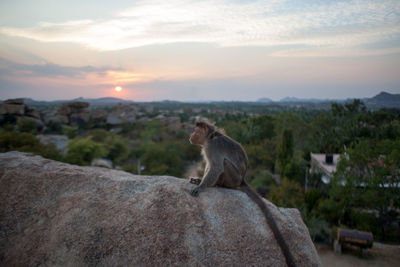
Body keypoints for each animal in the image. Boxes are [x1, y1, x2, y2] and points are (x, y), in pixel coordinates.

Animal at [188, 121, 296, 267]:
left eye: (195, 131)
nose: (191, 136)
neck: (209, 137)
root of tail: (242, 179)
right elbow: (210, 166)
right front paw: (199, 181)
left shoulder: (212, 147)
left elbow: (216, 167)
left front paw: (200, 186)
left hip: (233, 178)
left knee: (224, 163)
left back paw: (218, 185)